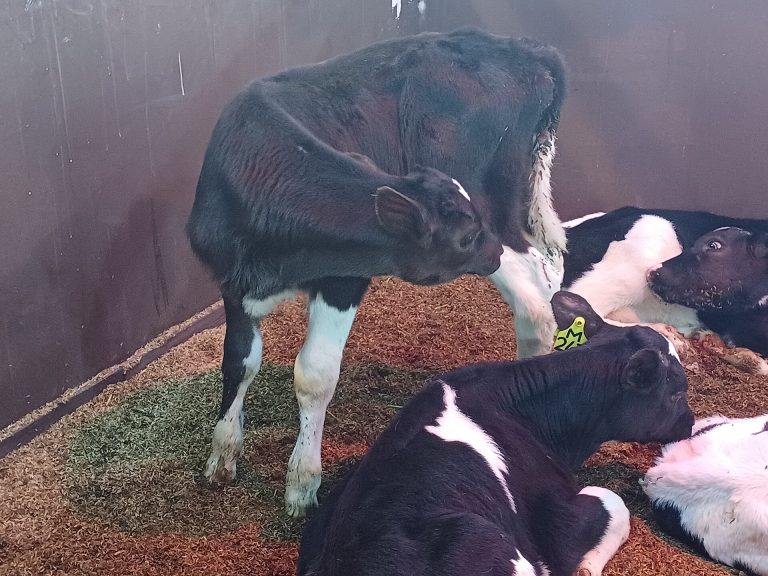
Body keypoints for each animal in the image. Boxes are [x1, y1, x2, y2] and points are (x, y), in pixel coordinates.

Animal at [186, 27, 568, 516]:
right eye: (465, 236)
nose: (486, 247)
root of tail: (526, 49)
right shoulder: (233, 281)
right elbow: (238, 360)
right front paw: (222, 454)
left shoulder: (346, 276)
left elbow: (314, 374)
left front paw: (302, 482)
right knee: (550, 267)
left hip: (497, 202)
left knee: (534, 293)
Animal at [297, 291, 695, 576]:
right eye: (677, 391)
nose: (690, 423)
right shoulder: (555, 526)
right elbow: (615, 504)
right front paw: (587, 566)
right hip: (483, 542)